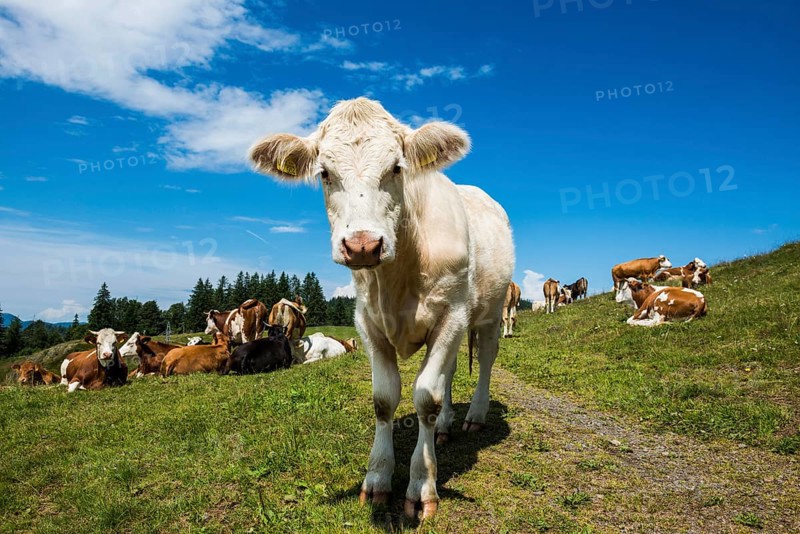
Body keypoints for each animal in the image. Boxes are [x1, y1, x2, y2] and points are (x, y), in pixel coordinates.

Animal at [249, 97, 514, 519]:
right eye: (324, 173)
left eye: (396, 167)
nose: (362, 245)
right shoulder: (368, 322)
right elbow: (384, 399)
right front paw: (377, 479)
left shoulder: (451, 315)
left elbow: (425, 397)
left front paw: (421, 485)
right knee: (451, 371)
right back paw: (444, 426)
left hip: (490, 308)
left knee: (486, 357)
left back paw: (474, 415)